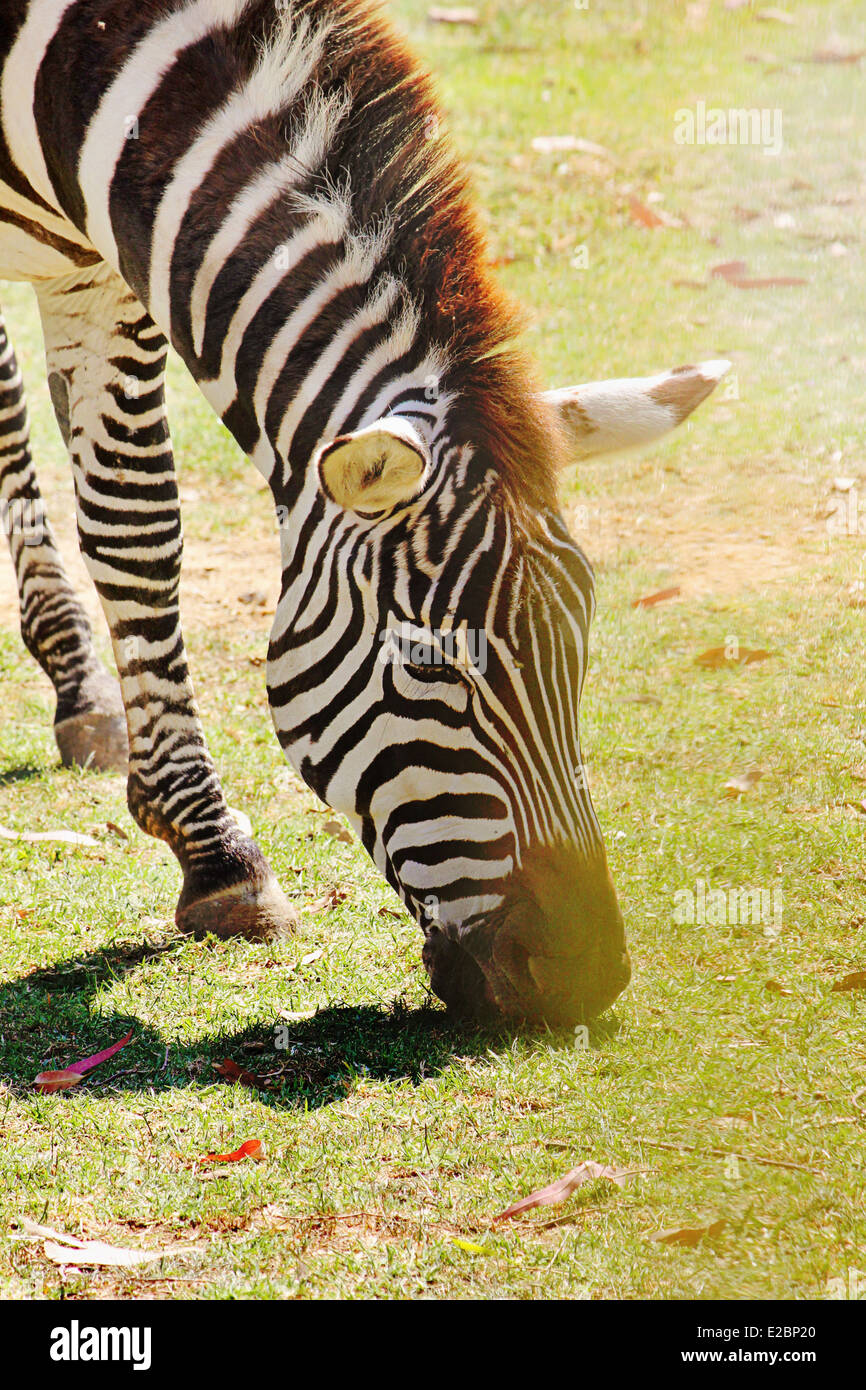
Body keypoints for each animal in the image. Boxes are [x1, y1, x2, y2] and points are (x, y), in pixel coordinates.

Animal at [0, 0, 728, 1025]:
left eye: (580, 650)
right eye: (429, 668)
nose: (586, 977)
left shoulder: (103, 262)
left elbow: (130, 521)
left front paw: (204, 845)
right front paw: (212, 847)